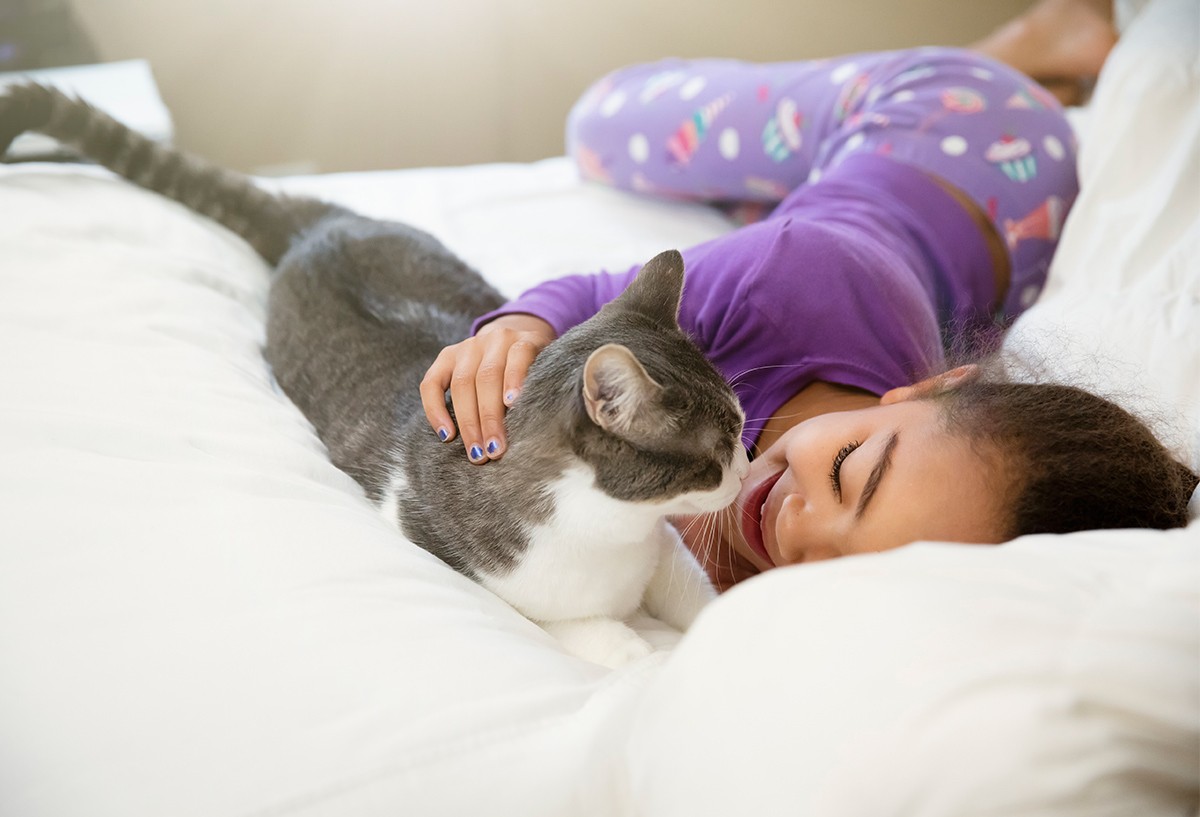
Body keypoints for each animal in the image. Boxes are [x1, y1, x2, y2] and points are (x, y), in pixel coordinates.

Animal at [0, 84, 748, 667]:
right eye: (713, 453)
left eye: (740, 427)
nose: (745, 467)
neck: (613, 534)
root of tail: (324, 225)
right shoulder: (464, 561)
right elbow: (577, 627)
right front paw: (639, 649)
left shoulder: (661, 553)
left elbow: (698, 591)